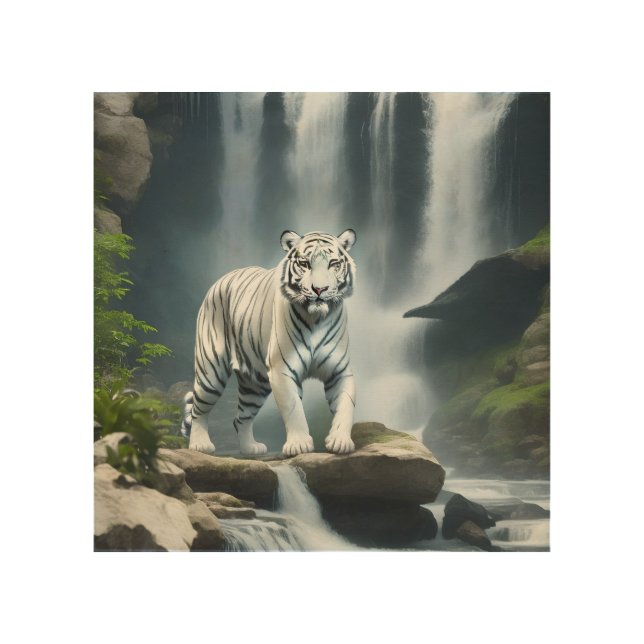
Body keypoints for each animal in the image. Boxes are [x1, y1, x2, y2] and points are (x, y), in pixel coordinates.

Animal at [181, 229, 357, 457]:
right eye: (305, 263)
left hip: (255, 385)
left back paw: (250, 448)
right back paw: (200, 445)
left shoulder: (340, 371)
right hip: (211, 372)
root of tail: (222, 278)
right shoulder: (283, 369)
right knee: (198, 409)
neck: (317, 318)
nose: (319, 289)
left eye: (333, 263)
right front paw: (299, 444)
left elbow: (345, 406)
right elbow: (294, 408)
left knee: (241, 417)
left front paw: (340, 441)